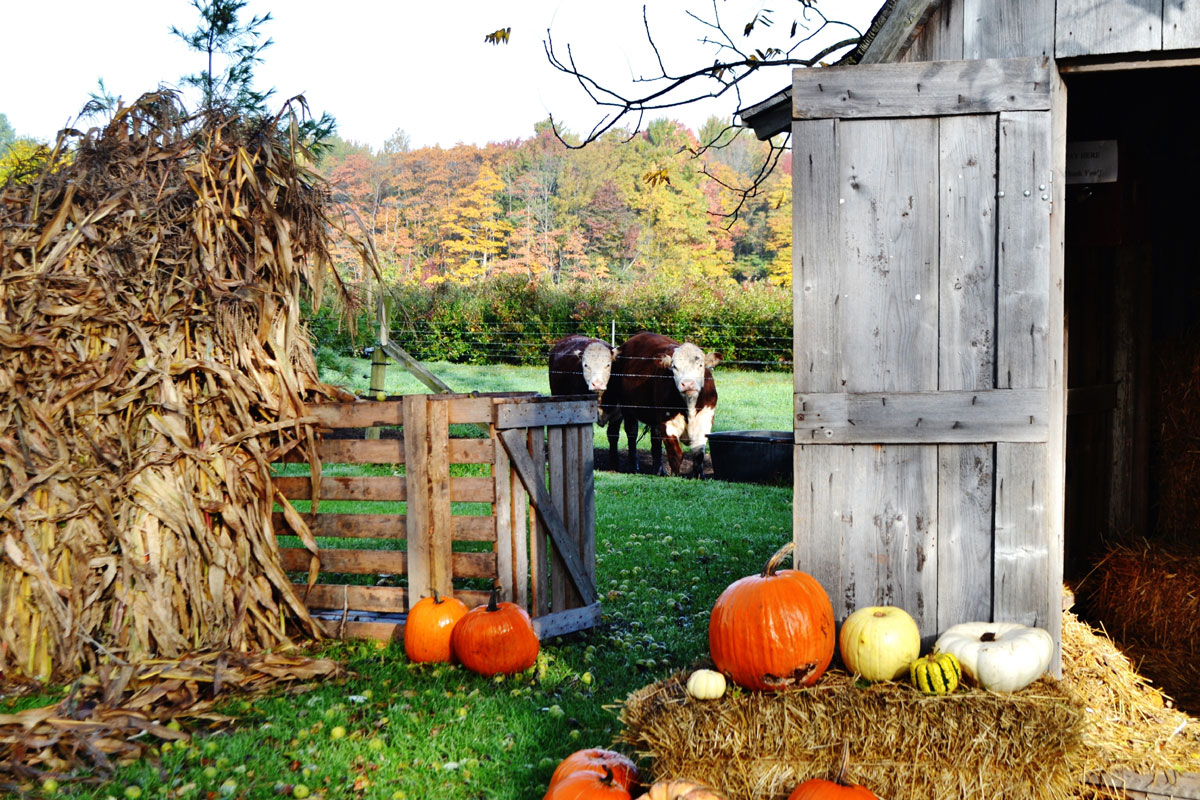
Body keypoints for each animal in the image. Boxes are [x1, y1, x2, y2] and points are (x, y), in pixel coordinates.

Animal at [604, 331, 715, 474]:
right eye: (674, 367)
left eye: (700, 365)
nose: (687, 384)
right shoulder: (667, 422)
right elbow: (676, 455)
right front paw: (676, 476)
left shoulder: (705, 420)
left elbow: (698, 454)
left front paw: (700, 476)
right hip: (627, 408)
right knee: (631, 433)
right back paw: (633, 467)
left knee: (655, 440)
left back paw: (659, 469)